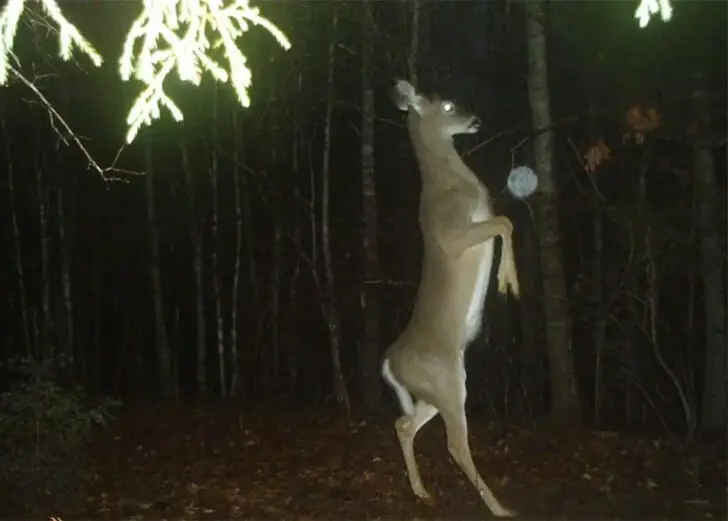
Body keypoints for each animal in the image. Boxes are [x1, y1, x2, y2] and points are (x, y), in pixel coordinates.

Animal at [381, 79, 520, 518]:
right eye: (446, 105)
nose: (475, 119)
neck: (452, 185)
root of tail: (388, 362)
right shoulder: (457, 234)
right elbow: (505, 221)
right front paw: (508, 283)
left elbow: (505, 220)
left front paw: (507, 282)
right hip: (446, 384)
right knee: (454, 444)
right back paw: (500, 507)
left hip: (433, 390)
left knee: (403, 424)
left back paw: (422, 492)